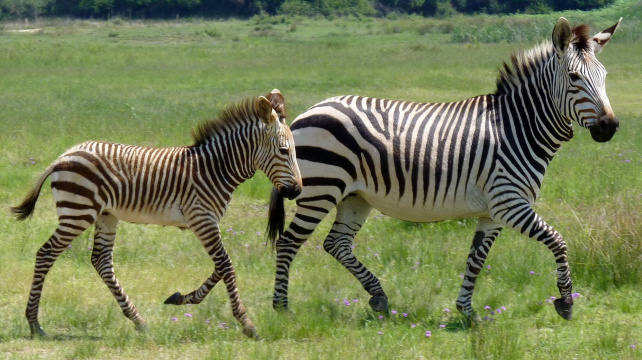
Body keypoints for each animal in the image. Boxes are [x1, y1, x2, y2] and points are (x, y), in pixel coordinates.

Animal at [10, 90, 300, 340]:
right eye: (284, 151)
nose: (297, 190)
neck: (215, 168)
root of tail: (63, 156)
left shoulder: (206, 221)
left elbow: (220, 266)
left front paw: (181, 298)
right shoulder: (202, 218)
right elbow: (226, 265)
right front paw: (247, 324)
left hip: (105, 215)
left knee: (101, 261)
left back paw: (138, 320)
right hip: (78, 212)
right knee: (46, 253)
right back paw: (35, 324)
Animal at [266, 18, 620, 322]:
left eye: (604, 76)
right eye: (574, 78)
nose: (609, 127)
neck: (518, 127)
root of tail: (303, 114)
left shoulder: (492, 212)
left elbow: (476, 259)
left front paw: (466, 310)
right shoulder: (509, 203)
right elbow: (558, 241)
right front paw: (566, 301)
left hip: (354, 197)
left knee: (336, 244)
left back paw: (378, 295)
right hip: (320, 190)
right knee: (288, 243)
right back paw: (282, 307)